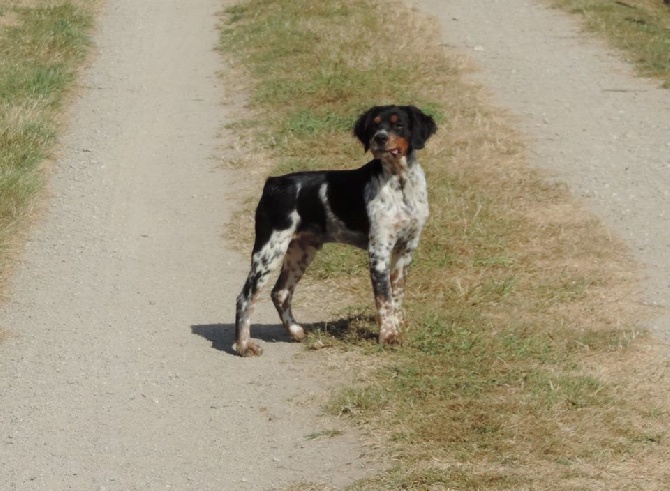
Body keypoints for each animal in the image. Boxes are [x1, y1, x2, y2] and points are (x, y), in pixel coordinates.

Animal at [234, 105, 438, 356]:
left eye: (398, 124)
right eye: (374, 125)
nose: (379, 138)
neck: (400, 184)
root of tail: (273, 183)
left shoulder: (406, 248)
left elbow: (396, 294)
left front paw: (397, 326)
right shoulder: (378, 250)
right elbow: (384, 298)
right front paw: (388, 335)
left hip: (300, 251)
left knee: (280, 292)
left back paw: (295, 331)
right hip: (269, 250)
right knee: (245, 297)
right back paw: (244, 345)